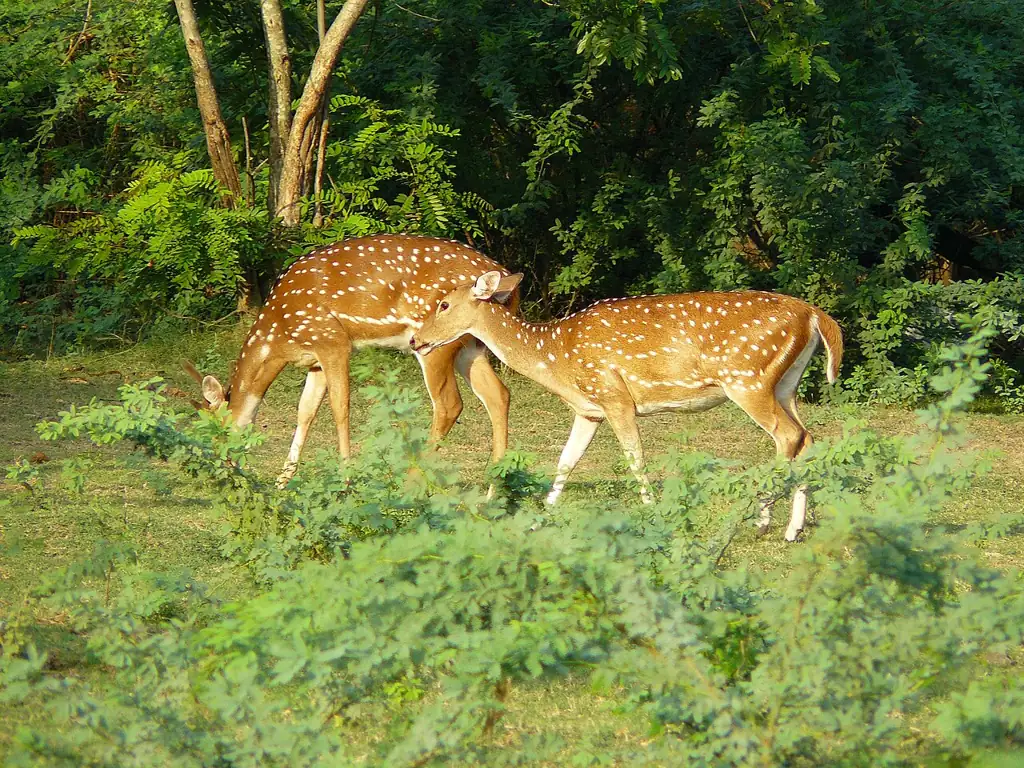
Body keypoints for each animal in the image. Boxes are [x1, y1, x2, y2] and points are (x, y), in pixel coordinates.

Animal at [182, 235, 519, 486]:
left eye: (213, 431)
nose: (219, 473)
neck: (279, 336)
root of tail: (506, 284)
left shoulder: (332, 341)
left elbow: (340, 408)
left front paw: (346, 479)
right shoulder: (314, 359)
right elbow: (305, 411)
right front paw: (283, 481)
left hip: (436, 343)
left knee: (449, 404)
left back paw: (409, 483)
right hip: (470, 347)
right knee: (498, 394)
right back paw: (495, 487)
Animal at [409, 271, 844, 541]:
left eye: (443, 304)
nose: (415, 340)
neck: (555, 357)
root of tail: (814, 315)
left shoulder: (615, 396)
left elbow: (634, 457)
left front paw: (652, 512)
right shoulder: (589, 408)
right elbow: (566, 460)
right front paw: (541, 517)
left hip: (747, 378)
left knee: (787, 435)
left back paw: (763, 519)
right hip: (785, 383)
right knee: (807, 437)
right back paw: (794, 528)